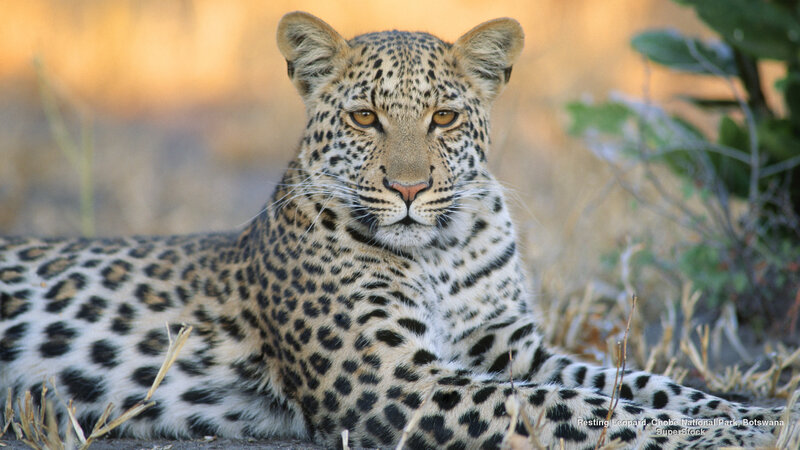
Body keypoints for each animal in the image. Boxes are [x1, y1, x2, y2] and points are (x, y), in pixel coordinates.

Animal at [1, 11, 795, 449]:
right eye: (364, 118)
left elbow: (638, 382)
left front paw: (754, 416)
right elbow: (580, 406)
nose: (409, 189)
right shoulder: (393, 381)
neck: (439, 251)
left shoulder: (509, 347)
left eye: (443, 117)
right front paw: (720, 434)